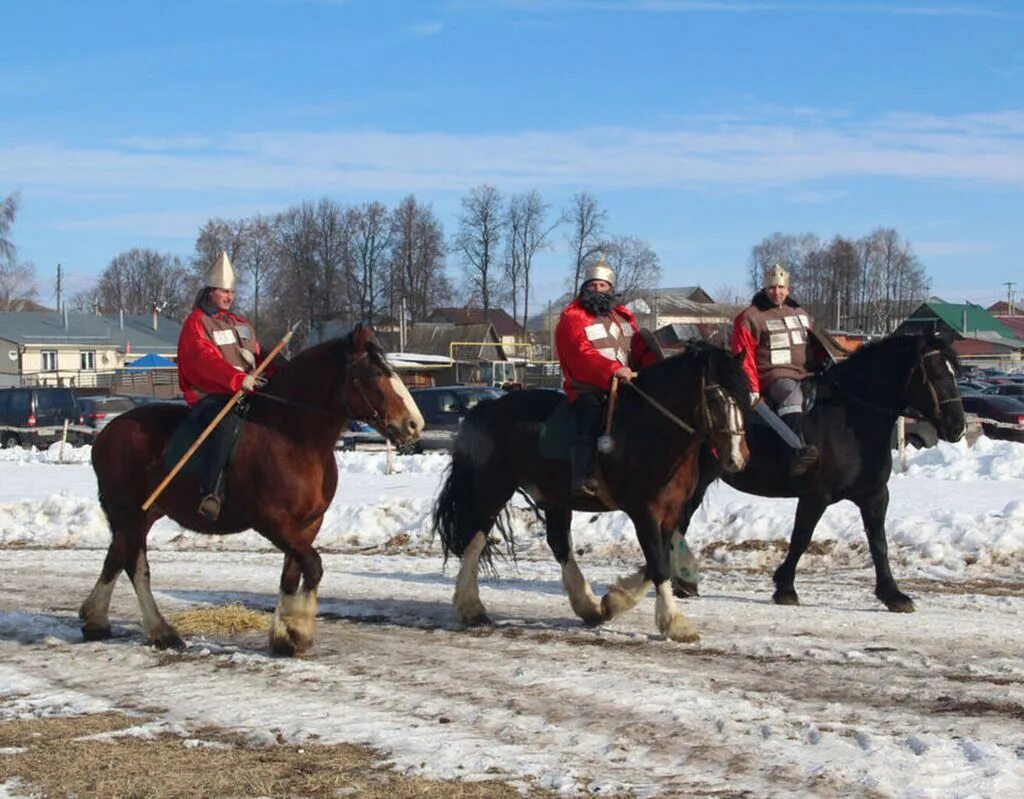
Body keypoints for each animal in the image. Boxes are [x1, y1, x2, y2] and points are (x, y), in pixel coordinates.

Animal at [74, 323, 419, 655]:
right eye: (375, 373)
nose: (414, 424)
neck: (291, 437)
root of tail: (107, 433)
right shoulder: (273, 522)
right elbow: (313, 566)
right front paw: (297, 629)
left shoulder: (307, 525)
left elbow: (292, 574)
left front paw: (283, 635)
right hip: (130, 513)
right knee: (135, 566)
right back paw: (160, 631)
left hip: (142, 515)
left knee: (116, 556)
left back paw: (96, 620)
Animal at [428, 344, 749, 643]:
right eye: (716, 398)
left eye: (747, 396)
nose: (738, 458)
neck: (653, 433)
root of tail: (484, 409)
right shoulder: (644, 512)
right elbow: (658, 563)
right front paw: (674, 622)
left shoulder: (671, 513)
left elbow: (660, 560)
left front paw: (614, 601)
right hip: (494, 488)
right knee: (475, 539)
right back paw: (470, 606)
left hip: (554, 499)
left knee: (559, 544)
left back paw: (588, 606)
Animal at [675, 329, 962, 610]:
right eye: (936, 373)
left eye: (955, 373)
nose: (957, 427)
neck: (850, 418)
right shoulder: (816, 495)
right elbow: (801, 537)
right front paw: (785, 587)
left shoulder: (874, 495)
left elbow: (878, 542)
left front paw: (892, 593)